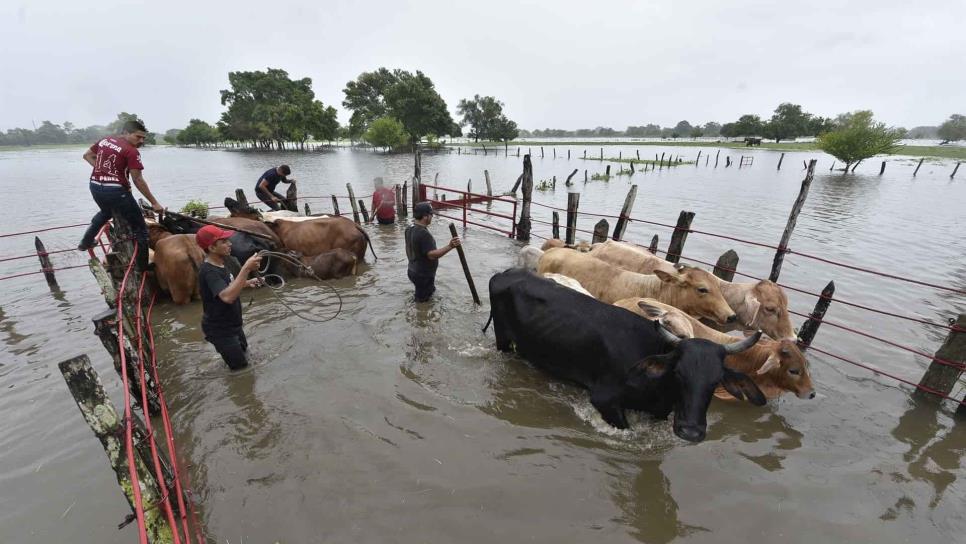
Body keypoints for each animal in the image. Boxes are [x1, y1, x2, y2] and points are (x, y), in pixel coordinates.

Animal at [488, 268, 768, 442]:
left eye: (716, 381)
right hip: (502, 339)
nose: (691, 432)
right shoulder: (604, 400)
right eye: (678, 373)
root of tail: (506, 273)